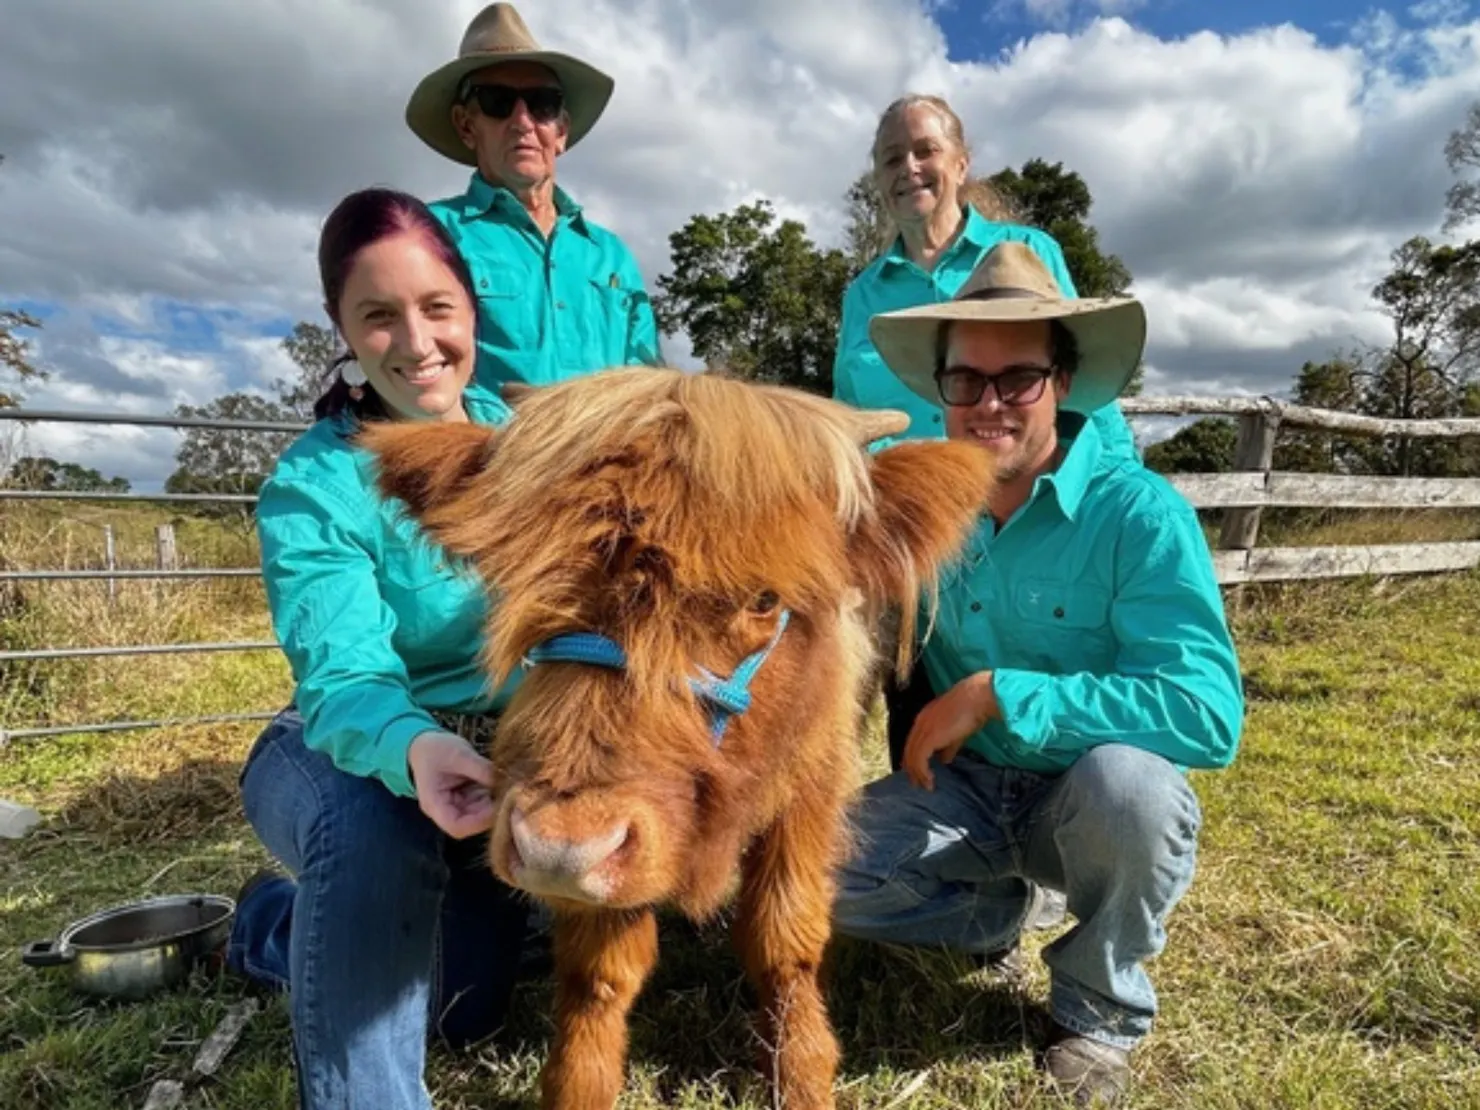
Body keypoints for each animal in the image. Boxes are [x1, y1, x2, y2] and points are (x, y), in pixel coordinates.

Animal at [364, 370, 1000, 1107]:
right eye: (520, 583)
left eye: (764, 599)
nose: (556, 849)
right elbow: (599, 972)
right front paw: (579, 1085)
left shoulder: (813, 790)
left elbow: (784, 937)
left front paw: (802, 1076)